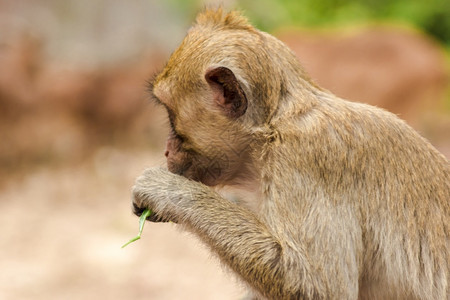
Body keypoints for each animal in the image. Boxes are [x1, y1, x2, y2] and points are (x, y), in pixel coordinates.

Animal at [131, 8, 450, 298]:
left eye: (170, 114)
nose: (166, 149)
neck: (270, 131)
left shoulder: (304, 159)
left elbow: (315, 285)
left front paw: (168, 192)